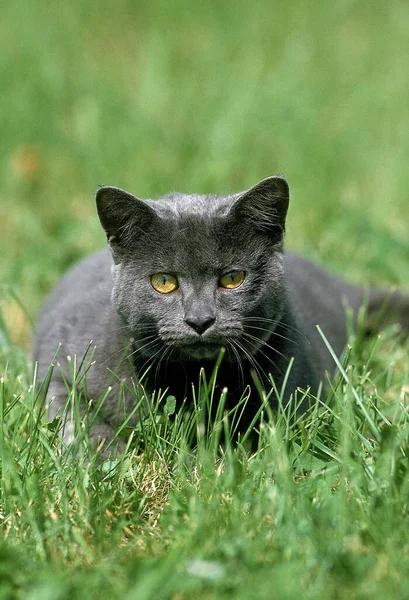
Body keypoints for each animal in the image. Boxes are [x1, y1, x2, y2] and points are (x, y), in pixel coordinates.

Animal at [32, 176, 408, 442]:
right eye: (164, 281)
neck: (194, 382)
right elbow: (78, 423)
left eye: (232, 278)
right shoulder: (62, 371)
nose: (200, 319)